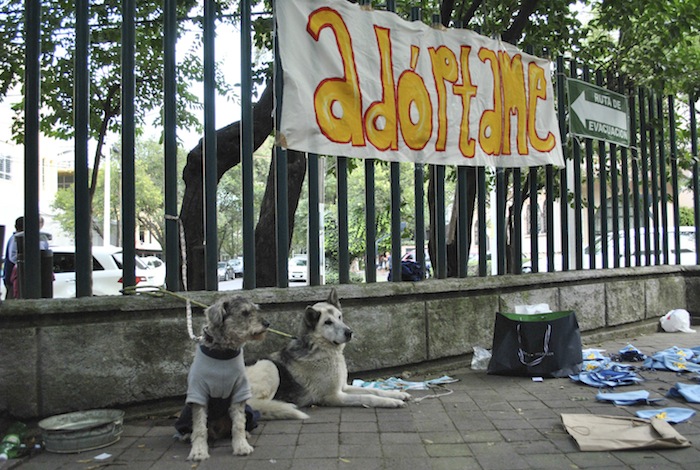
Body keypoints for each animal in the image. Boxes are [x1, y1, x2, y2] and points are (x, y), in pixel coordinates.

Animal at [176, 296, 270, 460]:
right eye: (245, 312)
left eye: (255, 309)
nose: (266, 324)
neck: (223, 352)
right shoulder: (198, 394)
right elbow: (199, 427)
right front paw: (198, 451)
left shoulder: (239, 393)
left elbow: (238, 424)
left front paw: (241, 446)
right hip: (186, 413)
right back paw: (187, 436)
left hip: (250, 412)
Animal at [246, 288, 410, 420]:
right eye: (328, 322)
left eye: (339, 317)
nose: (349, 332)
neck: (323, 350)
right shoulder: (334, 396)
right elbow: (367, 397)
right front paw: (392, 402)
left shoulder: (343, 387)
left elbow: (373, 390)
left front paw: (396, 394)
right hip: (269, 366)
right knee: (257, 405)